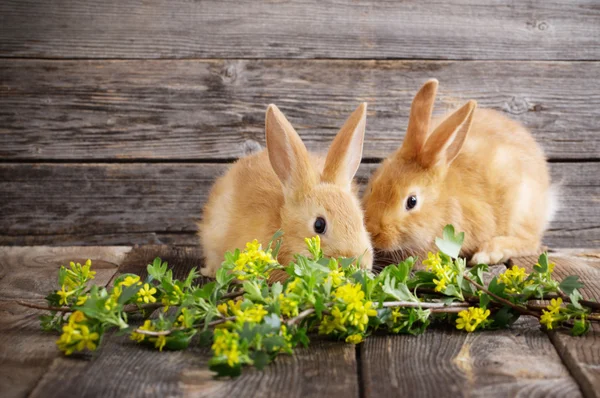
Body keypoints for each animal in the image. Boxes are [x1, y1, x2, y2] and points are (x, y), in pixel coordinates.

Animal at [358, 79, 556, 264]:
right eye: (373, 187)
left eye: (412, 201)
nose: (373, 232)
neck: (444, 201)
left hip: (521, 209)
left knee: (531, 241)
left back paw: (488, 253)